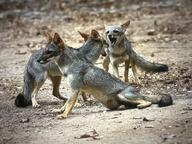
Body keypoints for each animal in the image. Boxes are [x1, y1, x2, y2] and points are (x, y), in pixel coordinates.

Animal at [36, 31, 172, 119]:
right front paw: (60, 110)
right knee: (131, 104)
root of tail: (138, 91)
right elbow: (65, 103)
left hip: (123, 95)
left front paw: (64, 115)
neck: (68, 67)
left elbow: (69, 104)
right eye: (43, 51)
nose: (37, 60)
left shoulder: (75, 89)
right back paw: (125, 107)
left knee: (146, 101)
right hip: (114, 103)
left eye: (49, 52)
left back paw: (141, 105)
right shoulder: (73, 89)